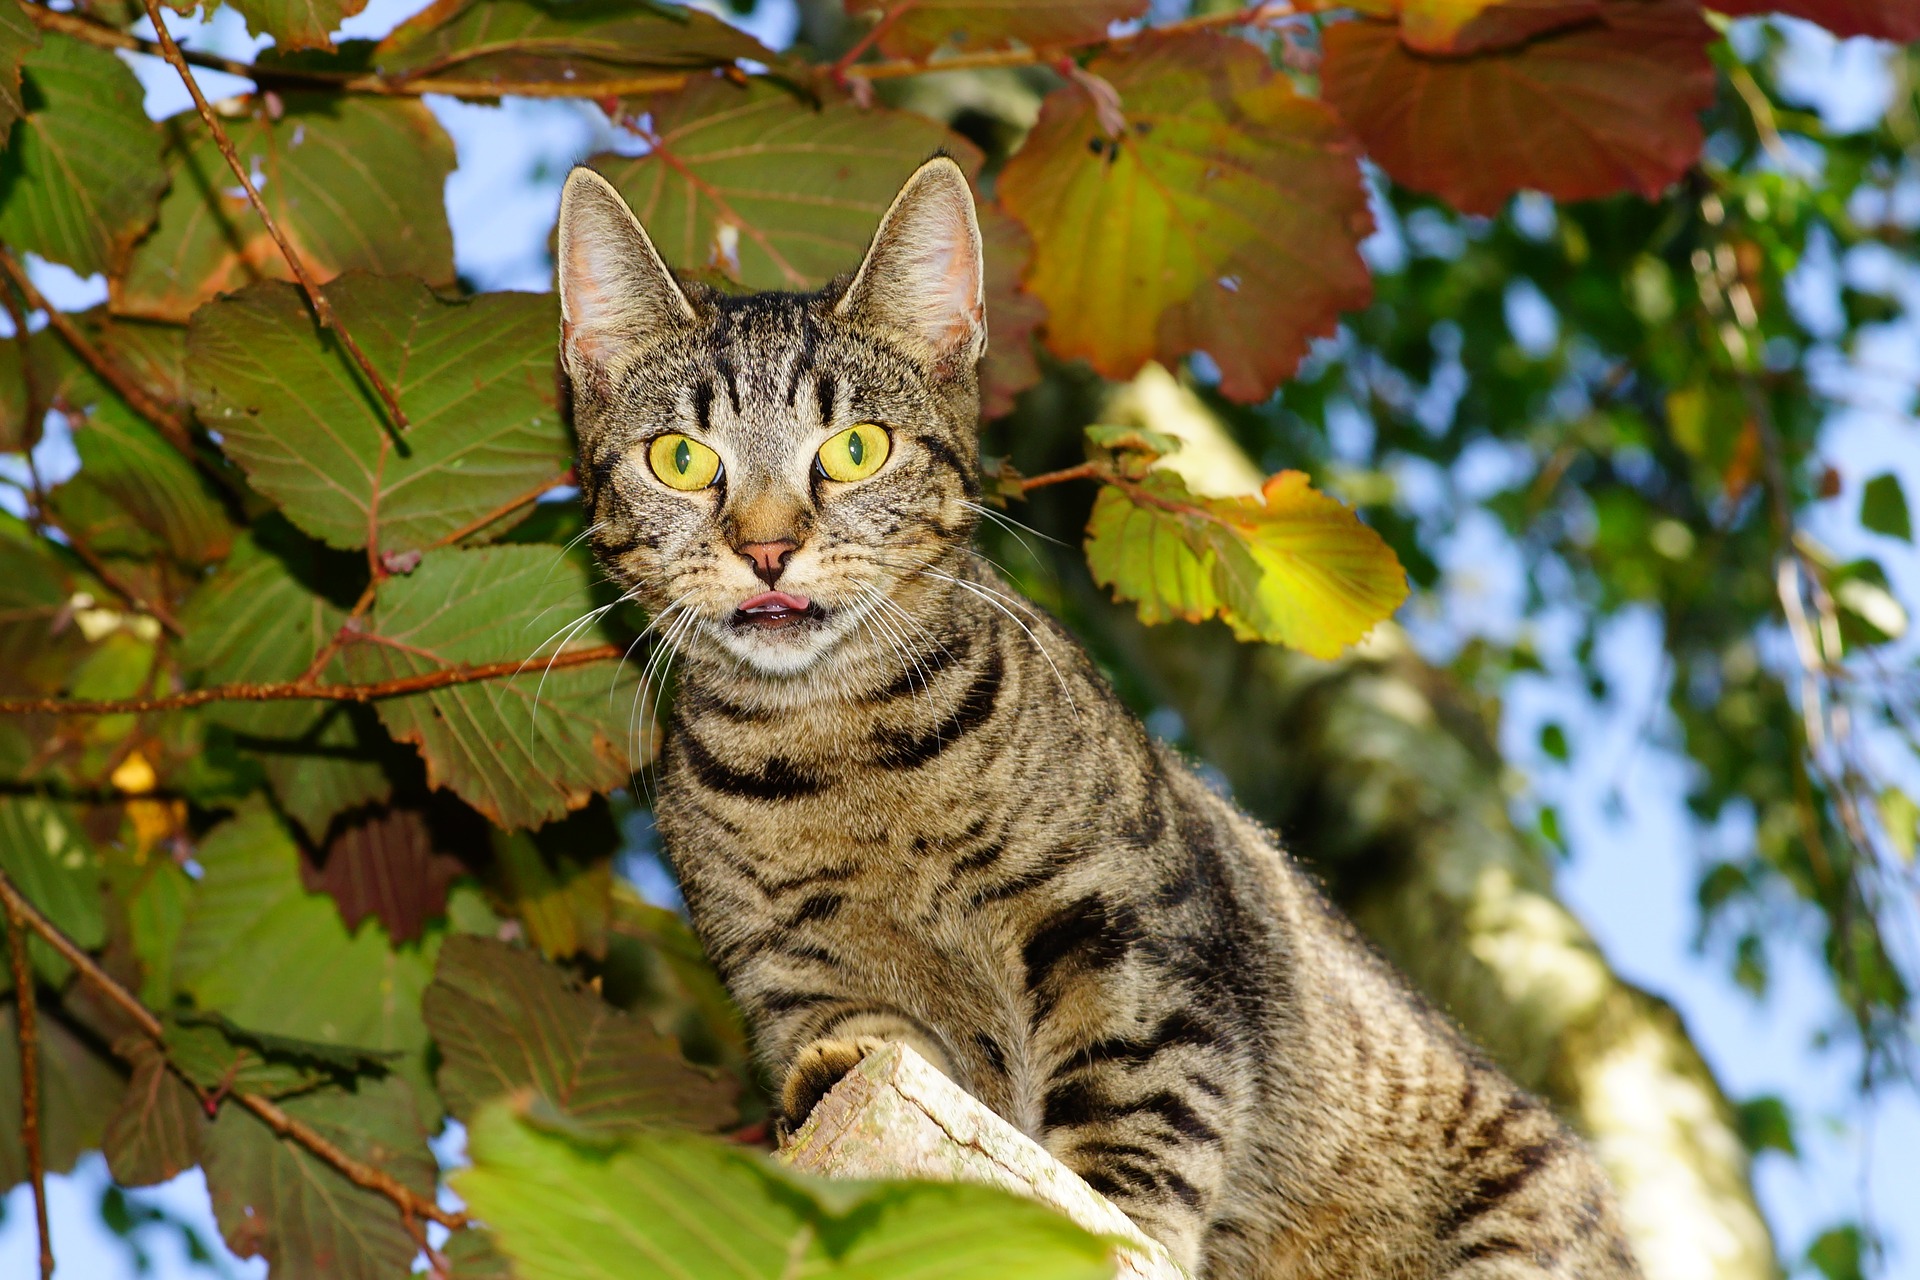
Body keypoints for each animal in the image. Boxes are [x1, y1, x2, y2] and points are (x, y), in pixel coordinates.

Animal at [552, 157, 1635, 1280]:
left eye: (855, 449)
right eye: (681, 459)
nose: (767, 549)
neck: (834, 750)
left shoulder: (1122, 919)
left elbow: (1136, 1090)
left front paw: (1109, 1211)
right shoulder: (794, 973)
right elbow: (877, 1044)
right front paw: (833, 1082)